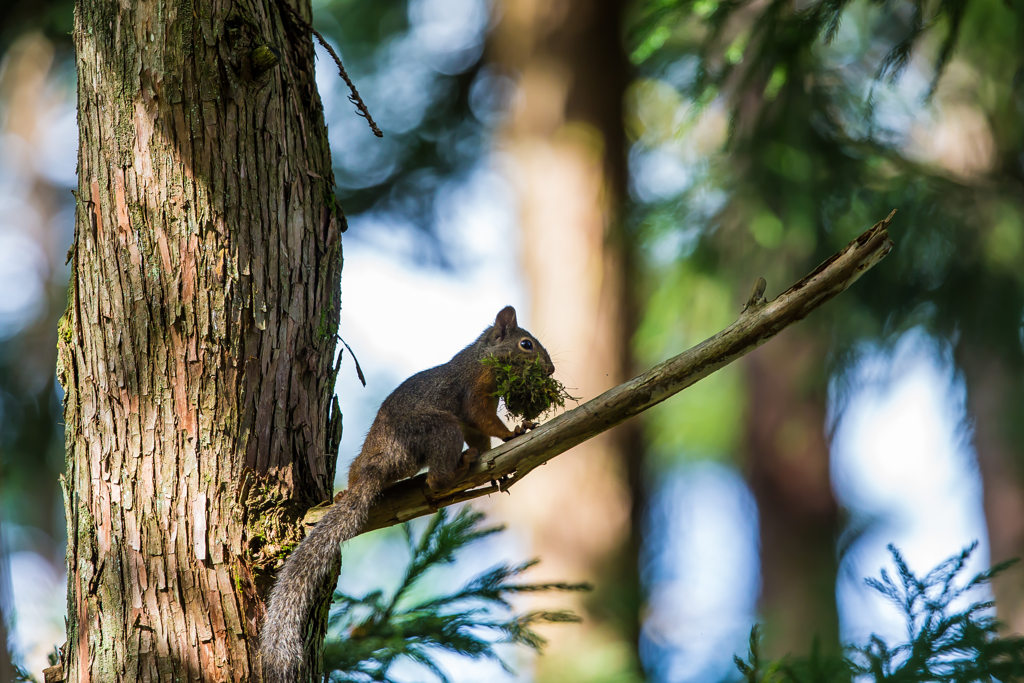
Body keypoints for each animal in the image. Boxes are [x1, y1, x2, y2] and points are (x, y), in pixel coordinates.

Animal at [260, 305, 557, 683]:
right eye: (526, 344)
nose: (551, 370)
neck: (480, 357)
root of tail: (376, 466)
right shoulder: (475, 391)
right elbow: (484, 421)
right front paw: (515, 432)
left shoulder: (474, 417)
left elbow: (481, 435)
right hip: (438, 428)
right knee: (436, 479)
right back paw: (459, 468)